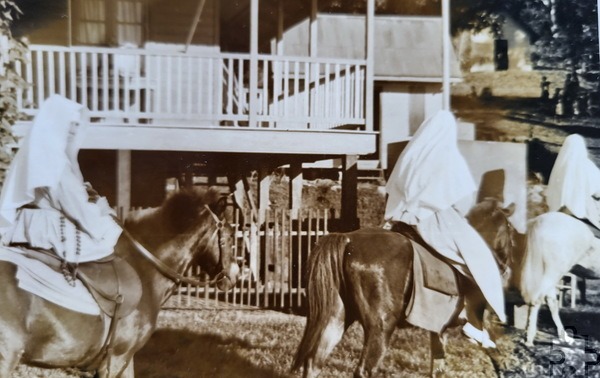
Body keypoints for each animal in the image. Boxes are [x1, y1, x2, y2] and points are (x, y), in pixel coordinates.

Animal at [290, 199, 516, 376]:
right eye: (511, 230)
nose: (507, 268)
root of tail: (348, 239)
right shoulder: (479, 325)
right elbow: (495, 354)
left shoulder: (438, 330)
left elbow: (438, 368)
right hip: (381, 327)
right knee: (364, 370)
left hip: (336, 318)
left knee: (314, 362)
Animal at [516, 213, 600, 346]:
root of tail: (542, 220)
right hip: (553, 272)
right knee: (538, 299)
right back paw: (529, 339)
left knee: (551, 302)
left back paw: (564, 337)